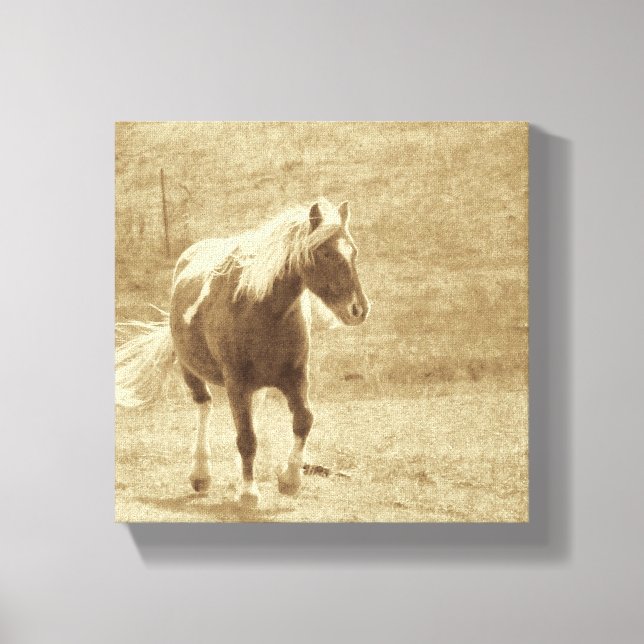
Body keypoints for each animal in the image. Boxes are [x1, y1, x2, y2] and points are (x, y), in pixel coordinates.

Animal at [116, 199, 370, 507]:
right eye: (324, 252)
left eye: (353, 251)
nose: (359, 309)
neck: (261, 309)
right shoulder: (236, 383)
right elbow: (247, 438)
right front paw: (249, 492)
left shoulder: (295, 378)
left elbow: (303, 421)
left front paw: (290, 480)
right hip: (192, 371)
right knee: (204, 406)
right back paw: (201, 474)